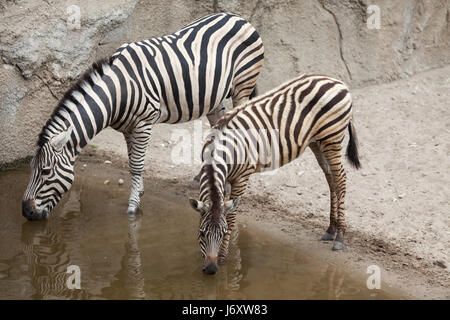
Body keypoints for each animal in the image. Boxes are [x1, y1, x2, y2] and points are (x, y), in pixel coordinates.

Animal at [22, 13, 264, 221]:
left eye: (45, 171)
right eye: (31, 167)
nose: (27, 212)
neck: (118, 91)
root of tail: (238, 17)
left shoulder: (143, 123)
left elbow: (137, 165)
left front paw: (132, 207)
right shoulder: (127, 127)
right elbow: (131, 162)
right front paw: (139, 193)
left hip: (242, 86)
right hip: (214, 98)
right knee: (220, 127)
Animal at [188, 74, 360, 274]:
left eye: (222, 233)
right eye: (201, 233)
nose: (210, 269)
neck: (221, 149)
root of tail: (338, 82)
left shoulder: (242, 177)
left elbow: (230, 216)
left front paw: (223, 255)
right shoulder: (225, 179)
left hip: (332, 137)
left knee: (341, 180)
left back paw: (339, 236)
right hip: (317, 141)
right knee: (331, 179)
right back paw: (330, 229)